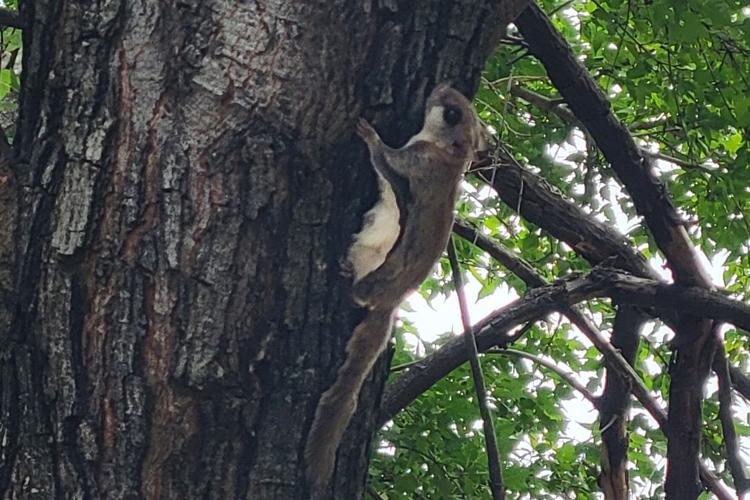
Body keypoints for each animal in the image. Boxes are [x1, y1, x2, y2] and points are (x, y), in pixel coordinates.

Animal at [305, 84, 488, 495]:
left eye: (452, 114)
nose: (441, 86)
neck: (446, 157)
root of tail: (388, 304)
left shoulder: (414, 162)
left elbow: (383, 159)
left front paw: (368, 133)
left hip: (378, 273)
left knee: (359, 292)